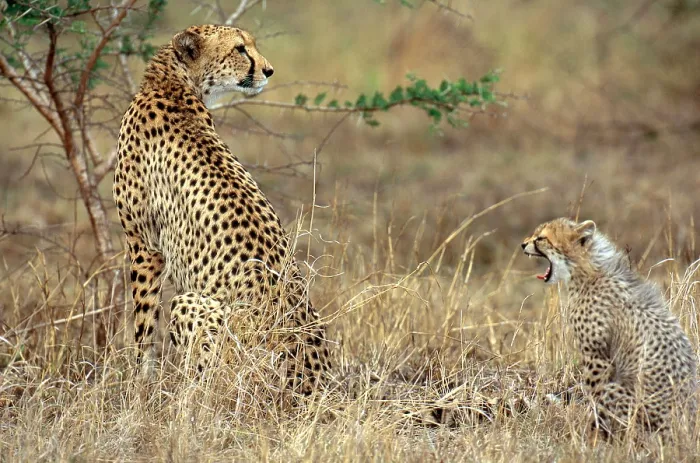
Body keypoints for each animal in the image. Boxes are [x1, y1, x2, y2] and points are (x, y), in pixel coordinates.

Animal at [113, 24, 331, 395]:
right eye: (240, 49)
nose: (269, 70)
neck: (173, 84)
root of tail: (317, 381)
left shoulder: (144, 246)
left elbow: (143, 328)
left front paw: (138, 387)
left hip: (192, 307)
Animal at [521, 217, 697, 436]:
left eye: (541, 238)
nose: (523, 244)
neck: (586, 271)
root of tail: (685, 429)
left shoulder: (597, 358)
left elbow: (595, 397)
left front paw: (592, 435)